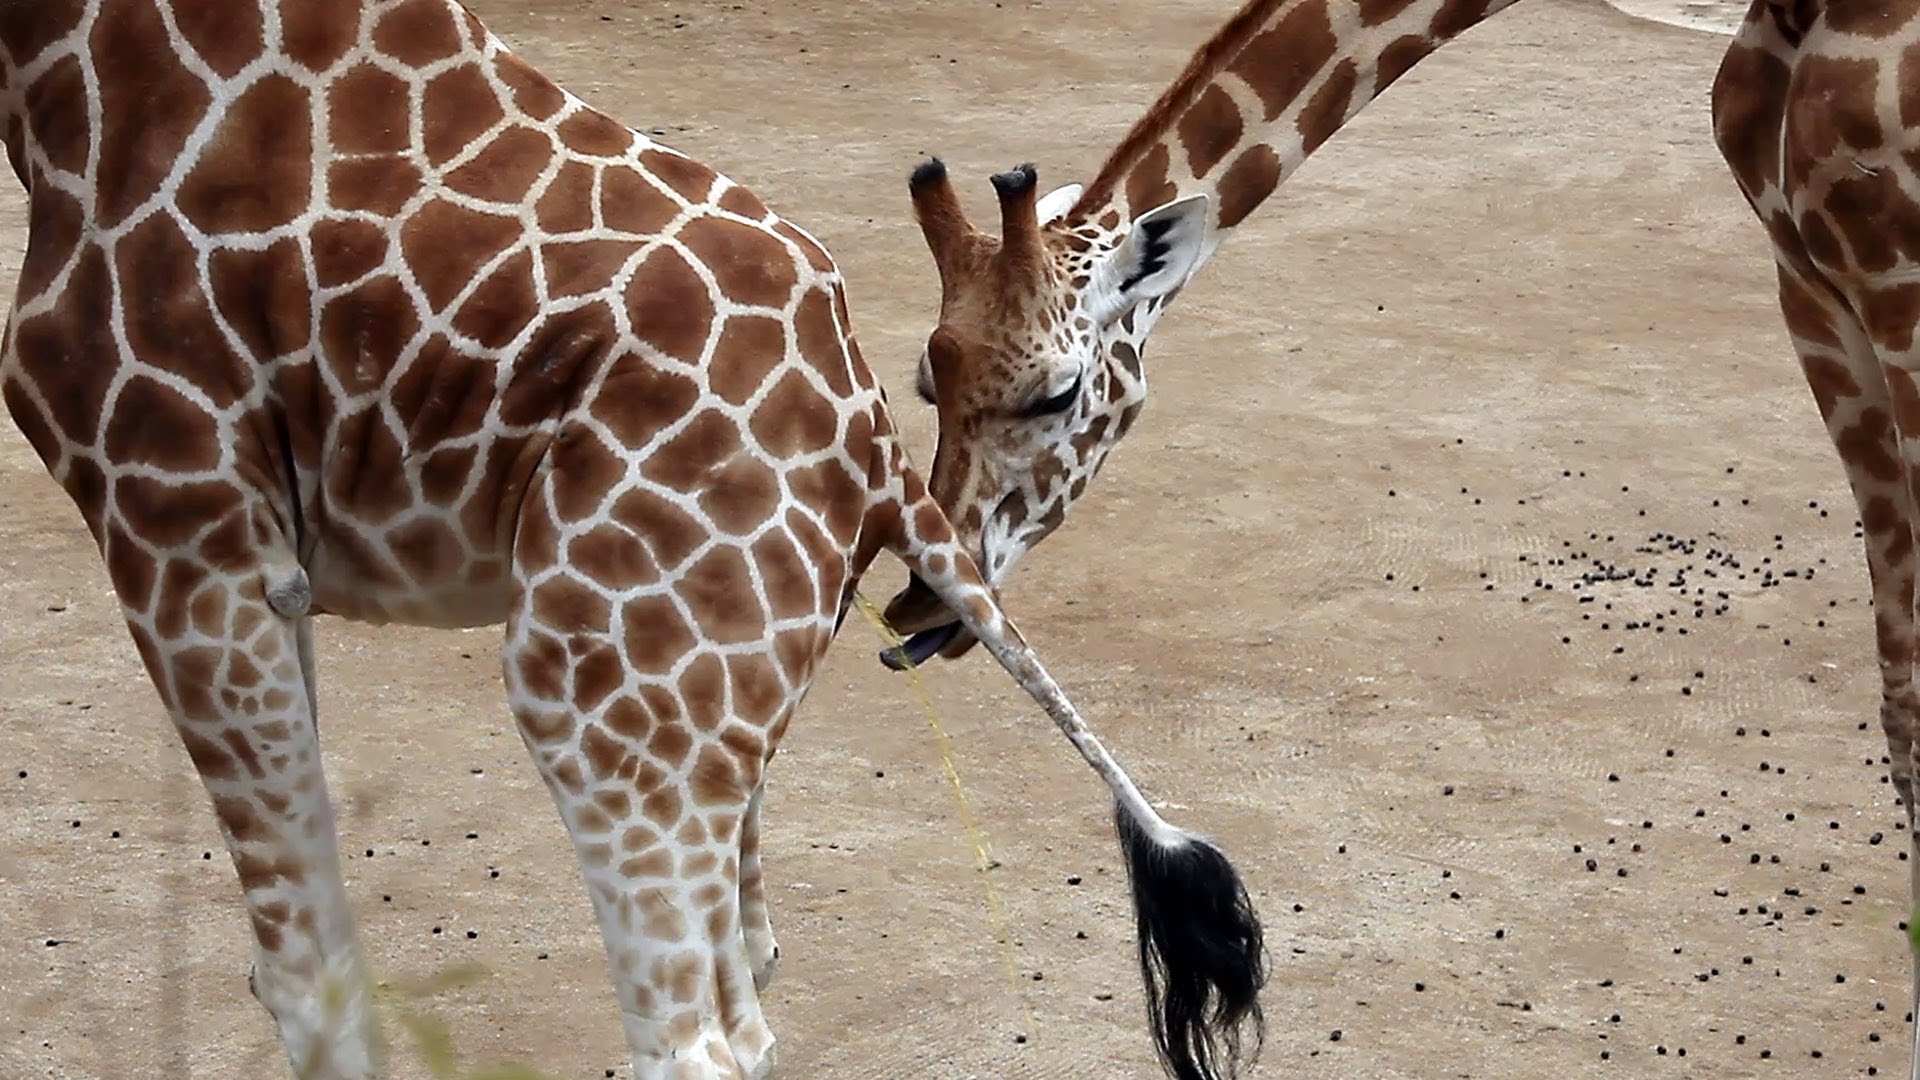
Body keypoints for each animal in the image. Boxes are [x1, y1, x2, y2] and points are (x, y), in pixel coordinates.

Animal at [3, 2, 1274, 1076]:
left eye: (1058, 394)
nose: (921, 611)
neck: (78, 73)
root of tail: (874, 451)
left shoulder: (179, 511)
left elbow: (312, 987)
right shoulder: (271, 550)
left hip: (597, 684)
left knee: (695, 1042)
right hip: (711, 697)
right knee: (750, 993)